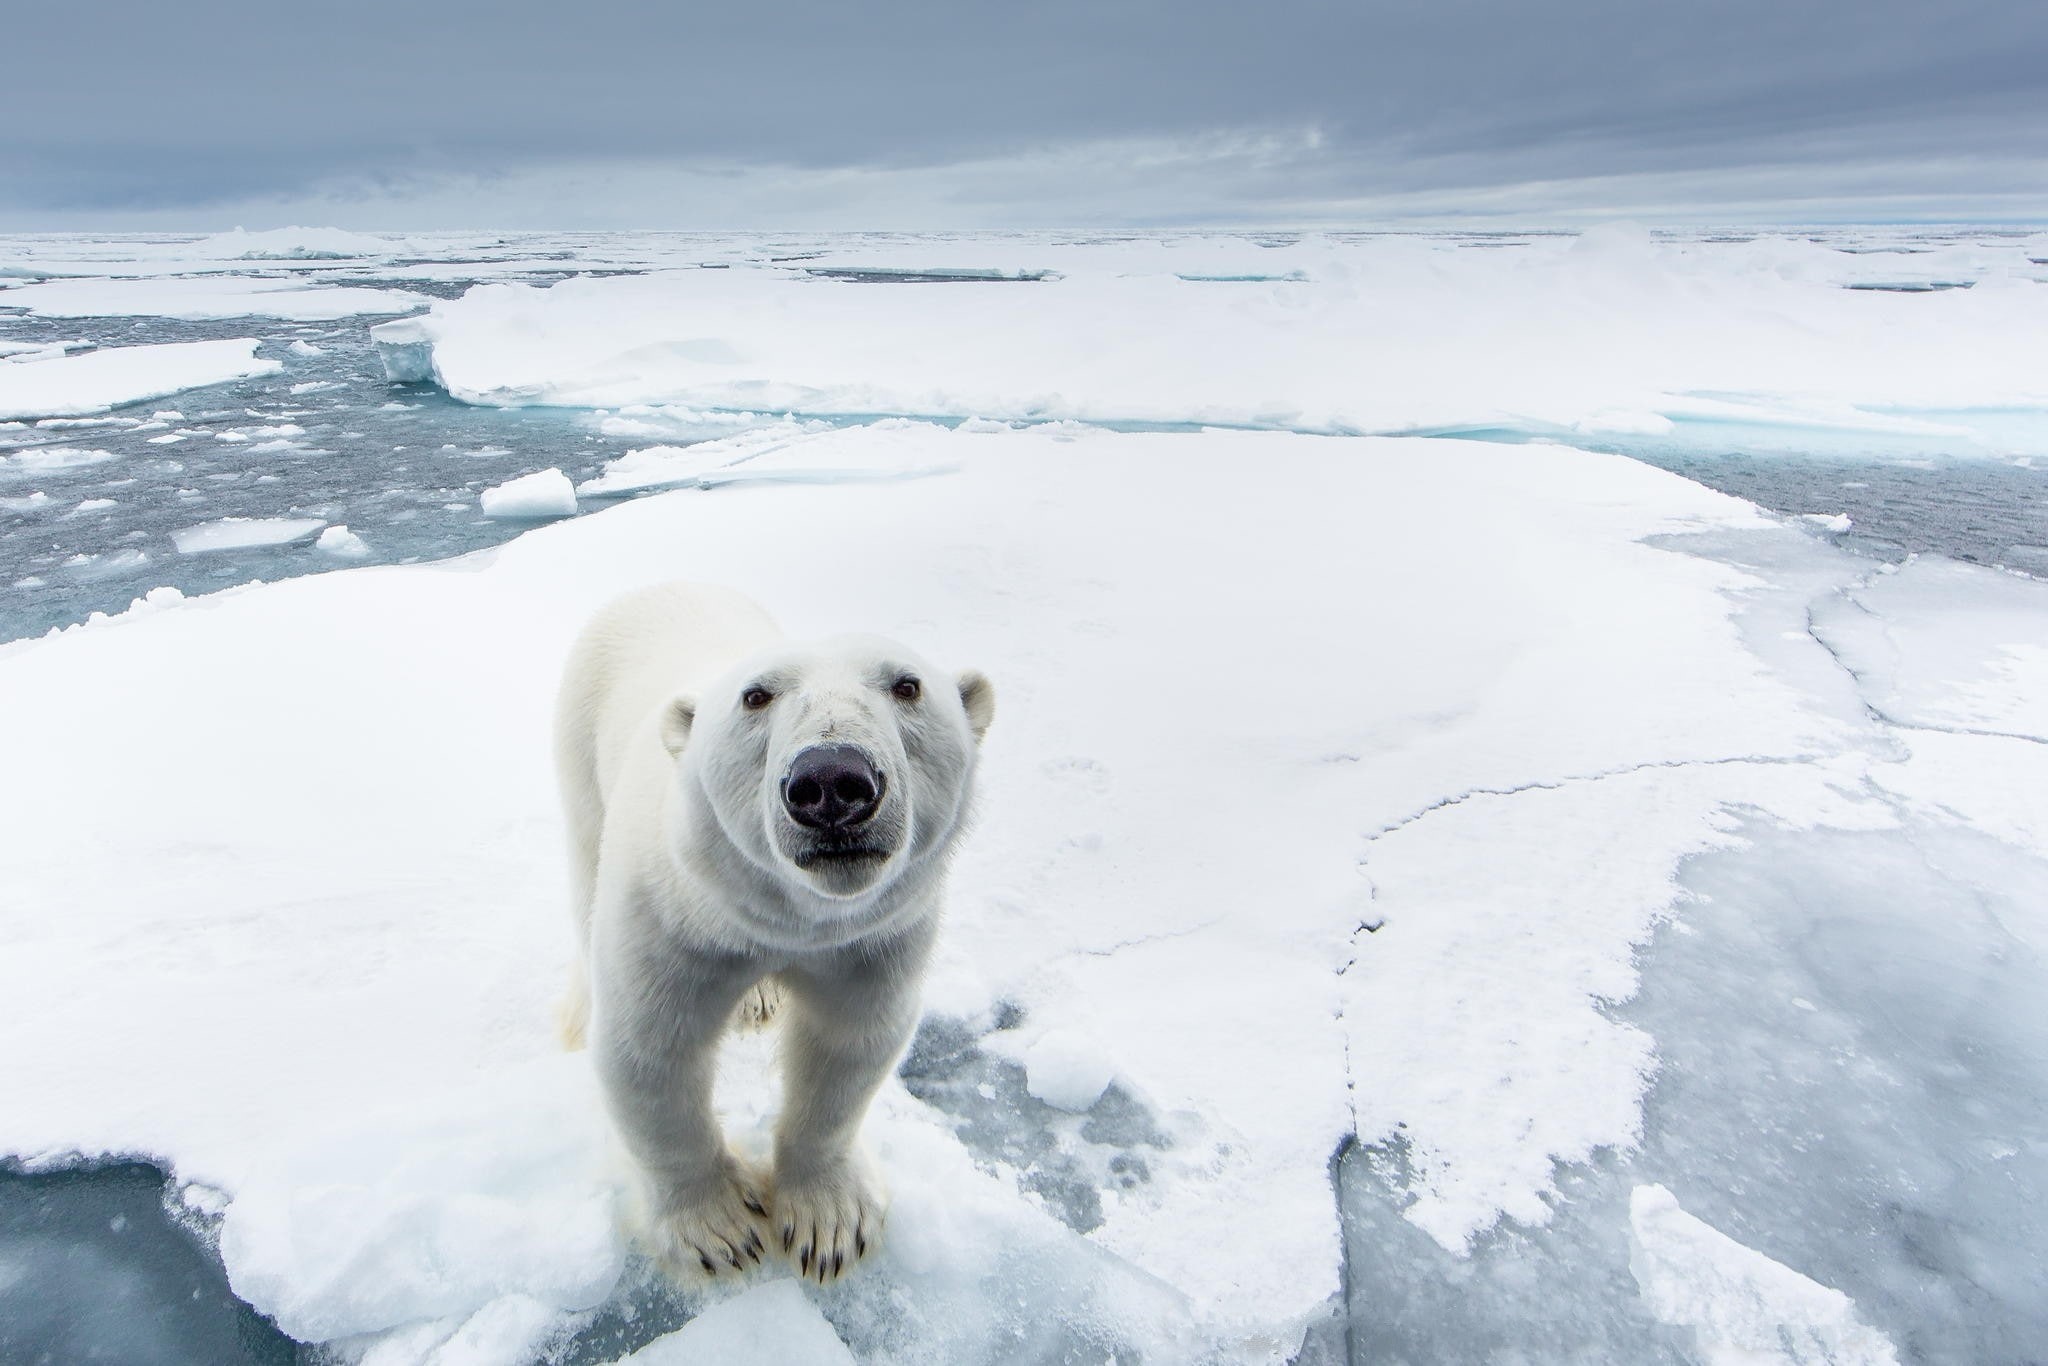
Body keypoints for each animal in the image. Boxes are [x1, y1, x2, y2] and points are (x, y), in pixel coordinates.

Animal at [553, 582, 994, 1283]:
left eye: (907, 685)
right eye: (755, 696)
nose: (833, 782)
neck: (786, 919)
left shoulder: (870, 938)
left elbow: (847, 1044)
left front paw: (829, 1221)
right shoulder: (675, 918)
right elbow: (650, 1050)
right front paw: (719, 1230)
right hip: (579, 740)